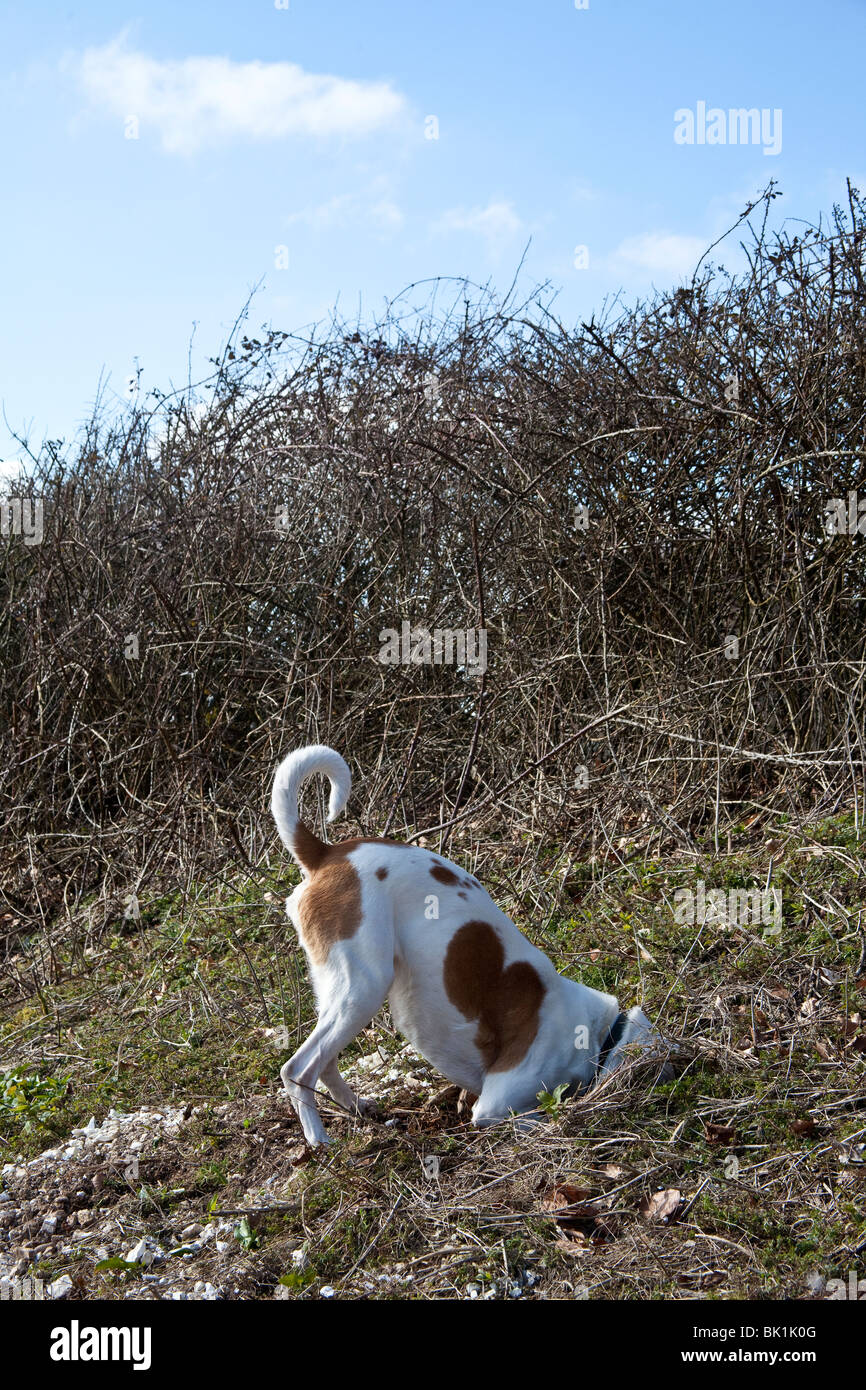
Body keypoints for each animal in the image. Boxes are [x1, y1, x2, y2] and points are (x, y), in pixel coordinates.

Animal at [271, 745, 664, 1145]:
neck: (600, 1033)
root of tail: (327, 853)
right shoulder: (495, 1106)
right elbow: (535, 1117)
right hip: (362, 989)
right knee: (298, 1070)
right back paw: (319, 1140)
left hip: (339, 993)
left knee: (325, 1062)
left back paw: (356, 1108)